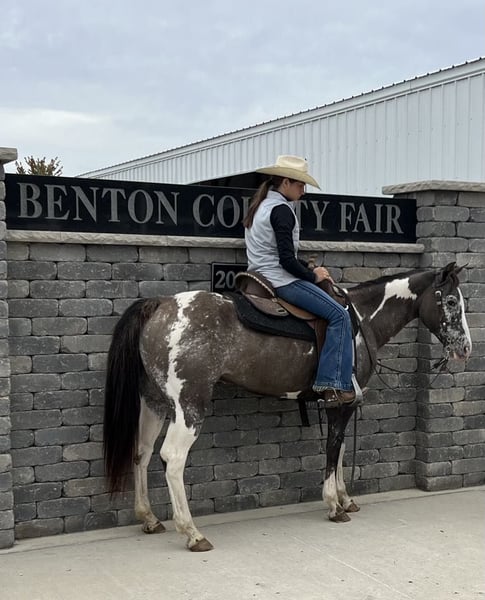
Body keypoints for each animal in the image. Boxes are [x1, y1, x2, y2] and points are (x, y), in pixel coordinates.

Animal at [103, 262, 471, 551]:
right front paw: (334, 505)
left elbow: (339, 451)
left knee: (142, 451)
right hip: (189, 405)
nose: (466, 348)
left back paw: (149, 518)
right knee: (172, 458)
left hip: (153, 401)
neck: (361, 319)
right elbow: (333, 448)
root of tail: (160, 305)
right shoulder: (340, 404)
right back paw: (192, 533)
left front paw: (346, 499)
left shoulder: (342, 404)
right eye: (452, 300)